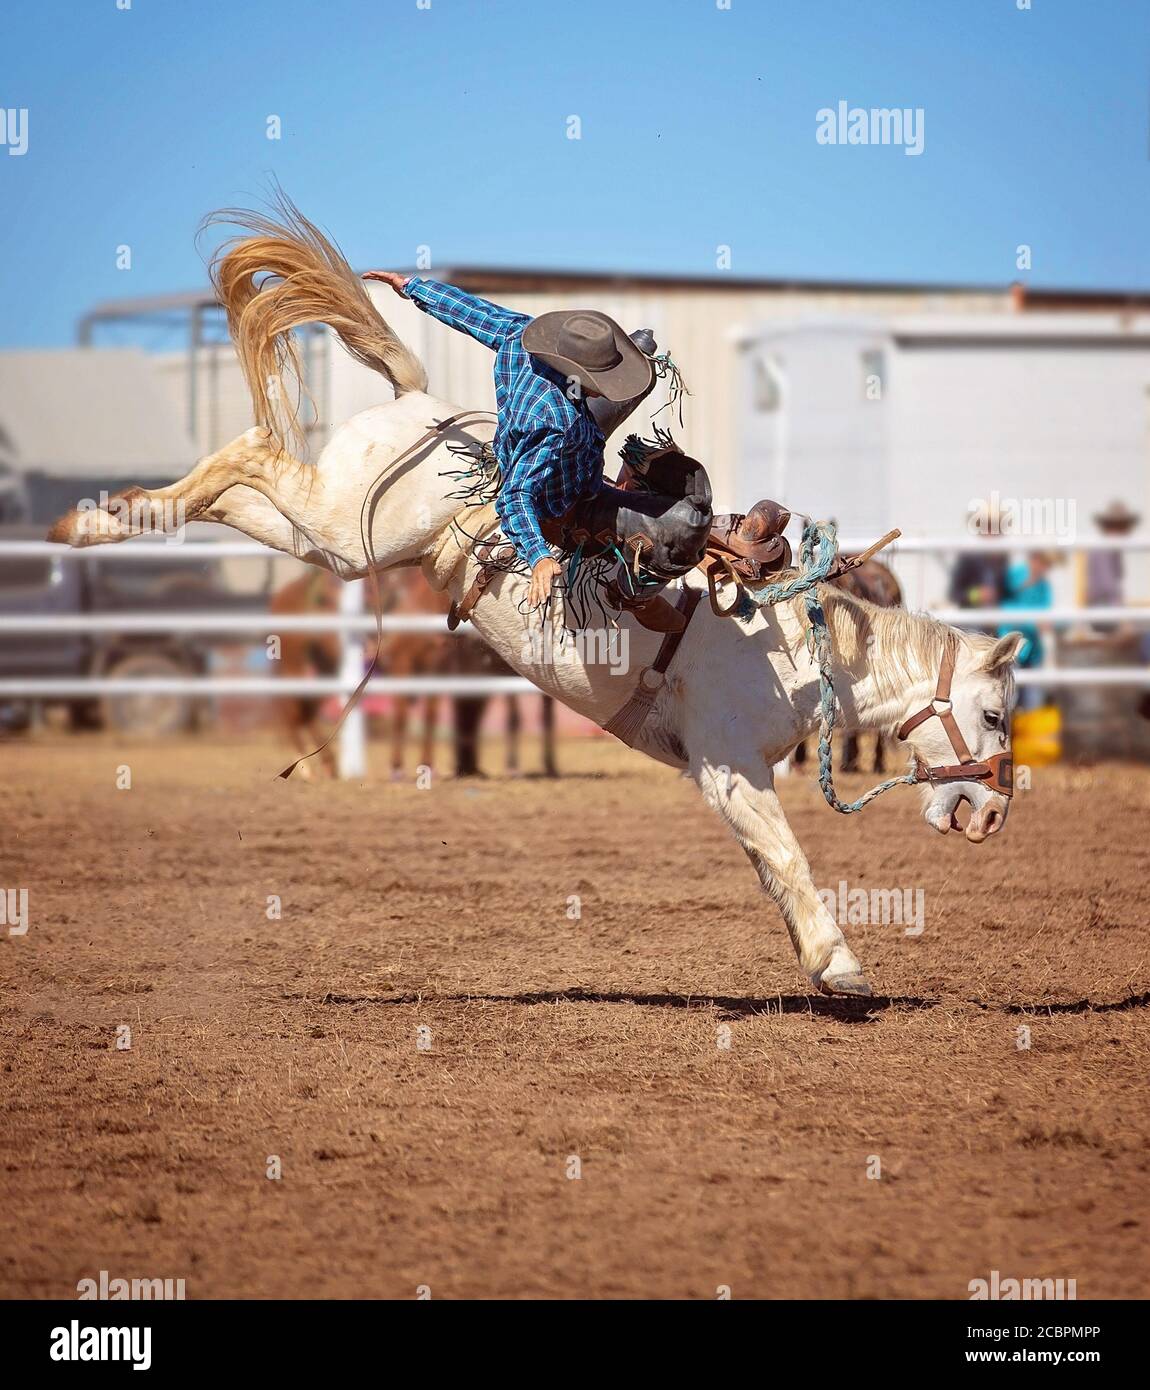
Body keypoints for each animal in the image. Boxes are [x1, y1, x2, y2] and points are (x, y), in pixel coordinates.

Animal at [48, 200, 1023, 998]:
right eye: (997, 715)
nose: (992, 817)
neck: (796, 647)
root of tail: (420, 407)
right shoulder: (728, 764)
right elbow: (785, 856)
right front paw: (842, 965)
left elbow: (771, 864)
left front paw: (824, 961)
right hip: (348, 535)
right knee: (249, 452)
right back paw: (94, 521)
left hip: (328, 538)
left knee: (238, 483)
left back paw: (105, 516)